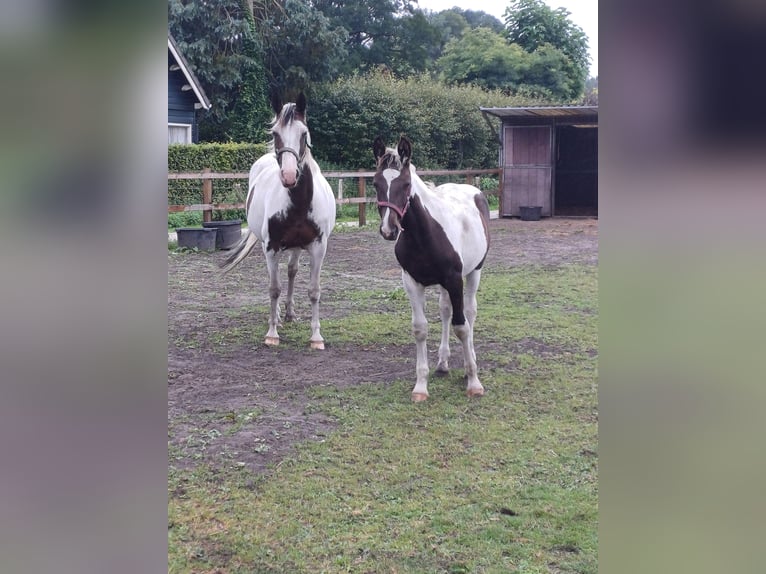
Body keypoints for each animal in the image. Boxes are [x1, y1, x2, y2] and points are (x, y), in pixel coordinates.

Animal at [222, 93, 336, 352]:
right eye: (275, 133)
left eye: (304, 133)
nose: (289, 176)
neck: (299, 203)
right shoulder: (271, 247)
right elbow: (274, 289)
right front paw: (272, 333)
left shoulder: (318, 248)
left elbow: (314, 291)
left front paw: (316, 337)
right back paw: (277, 318)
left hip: (296, 247)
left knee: (292, 271)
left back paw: (290, 314)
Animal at [374, 137, 492, 402]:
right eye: (376, 183)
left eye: (406, 184)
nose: (389, 230)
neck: (424, 235)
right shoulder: (412, 282)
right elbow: (420, 328)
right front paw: (420, 387)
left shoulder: (455, 279)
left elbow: (462, 327)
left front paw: (474, 382)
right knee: (445, 310)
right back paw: (443, 363)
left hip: (474, 273)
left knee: (470, 312)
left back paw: (470, 360)